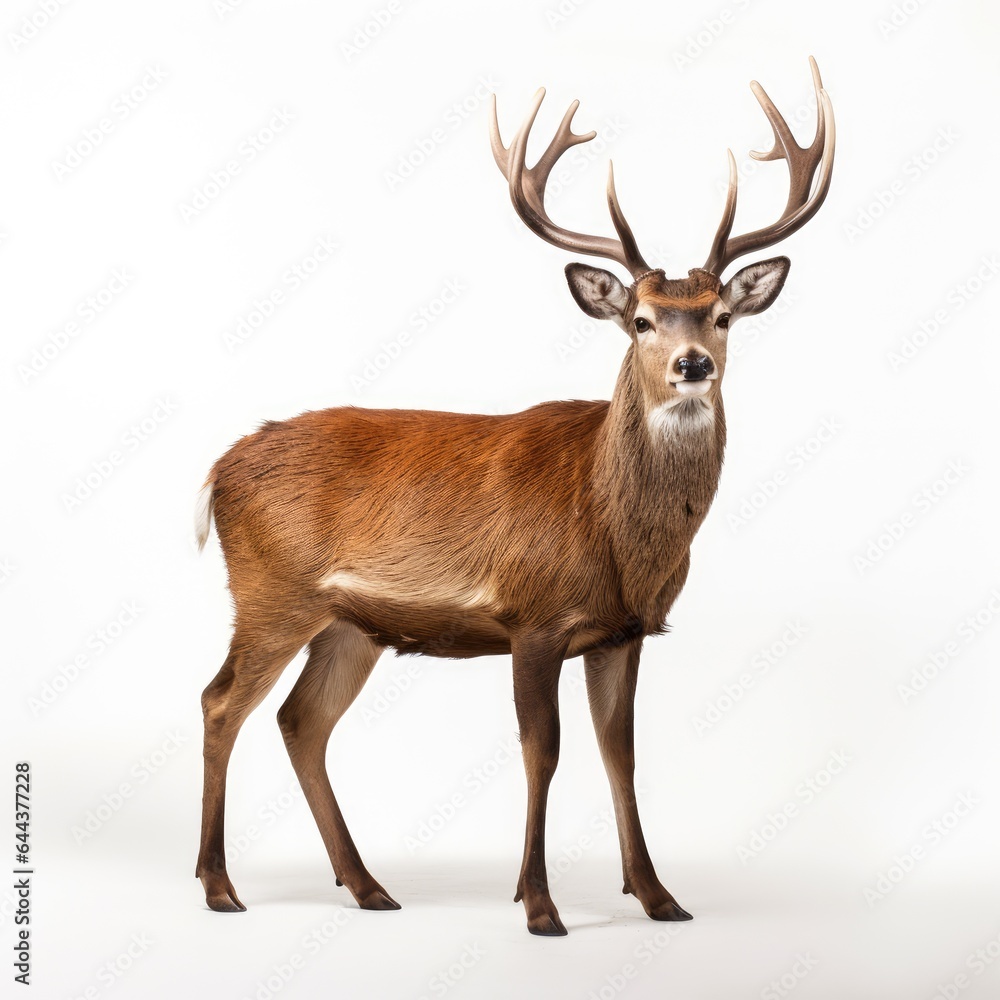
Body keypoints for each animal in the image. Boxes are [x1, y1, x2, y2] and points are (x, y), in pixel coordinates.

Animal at [194, 57, 835, 936]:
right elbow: (545, 751)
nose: (693, 365)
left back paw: (367, 886)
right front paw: (539, 905)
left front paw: (659, 895)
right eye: (640, 320)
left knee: (301, 721)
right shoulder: (533, 616)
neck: (611, 529)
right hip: (270, 592)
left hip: (348, 623)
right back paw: (221, 886)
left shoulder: (623, 630)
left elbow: (620, 752)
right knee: (221, 702)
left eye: (723, 316)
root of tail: (216, 470)